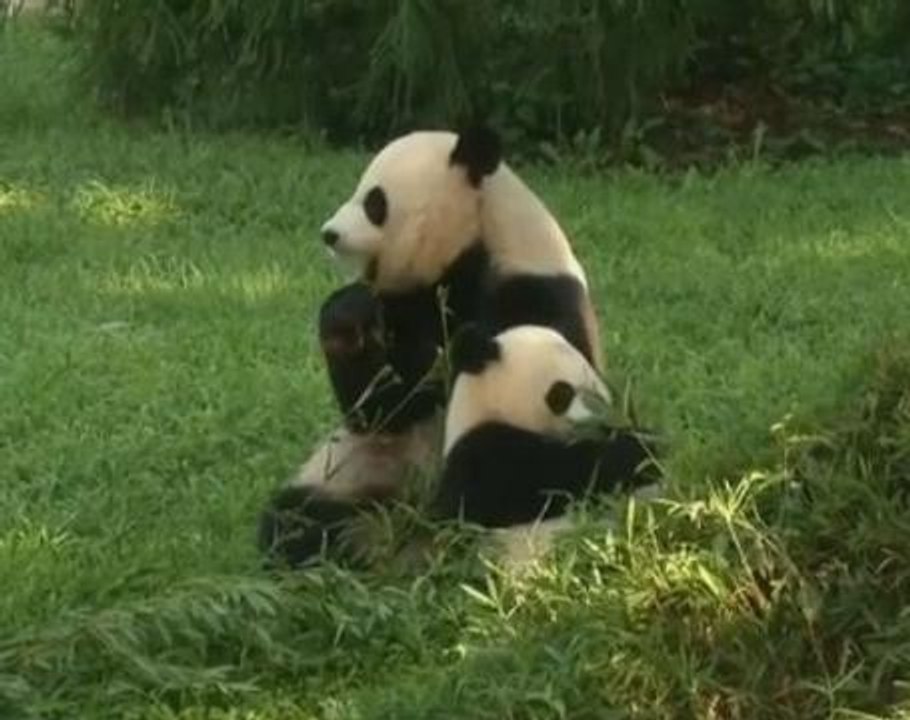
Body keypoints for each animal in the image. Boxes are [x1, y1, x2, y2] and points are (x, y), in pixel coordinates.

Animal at [258, 126, 605, 570]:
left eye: (375, 202)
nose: (328, 234)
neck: (473, 248)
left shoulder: (534, 290)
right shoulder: (406, 301)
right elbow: (380, 408)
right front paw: (348, 317)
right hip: (358, 469)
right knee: (297, 516)